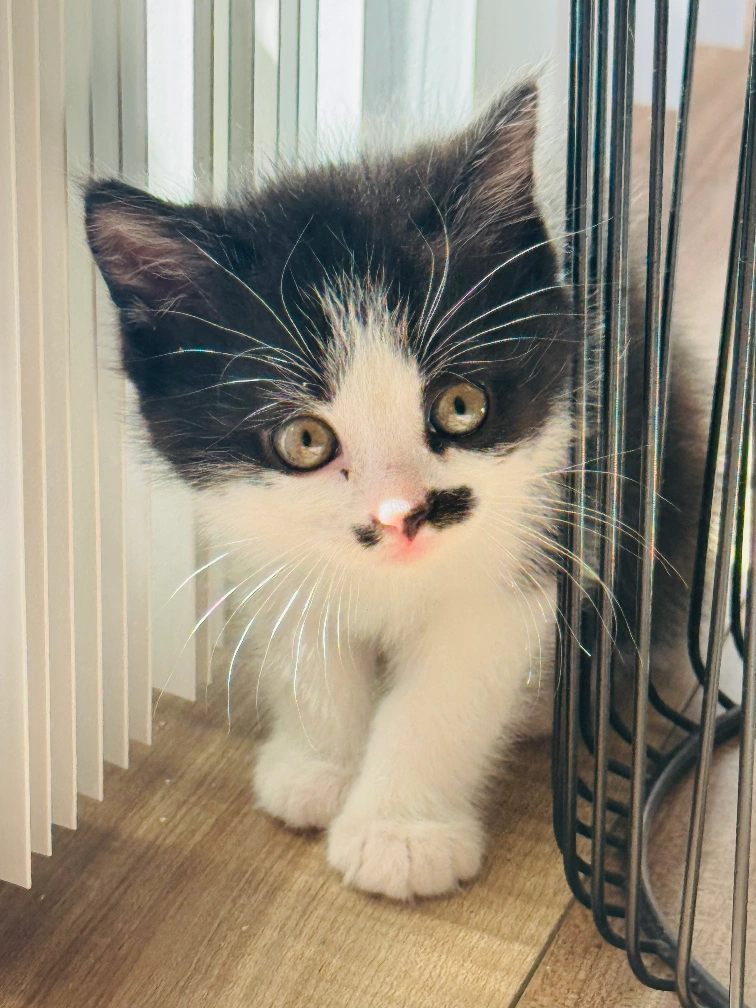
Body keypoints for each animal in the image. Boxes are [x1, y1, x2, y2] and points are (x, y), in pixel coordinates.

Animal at [85, 82, 702, 901]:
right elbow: (308, 652)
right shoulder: (258, 535)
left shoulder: (544, 522)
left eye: (461, 405)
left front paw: (400, 832)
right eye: (305, 440)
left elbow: (444, 697)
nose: (402, 513)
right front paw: (321, 768)